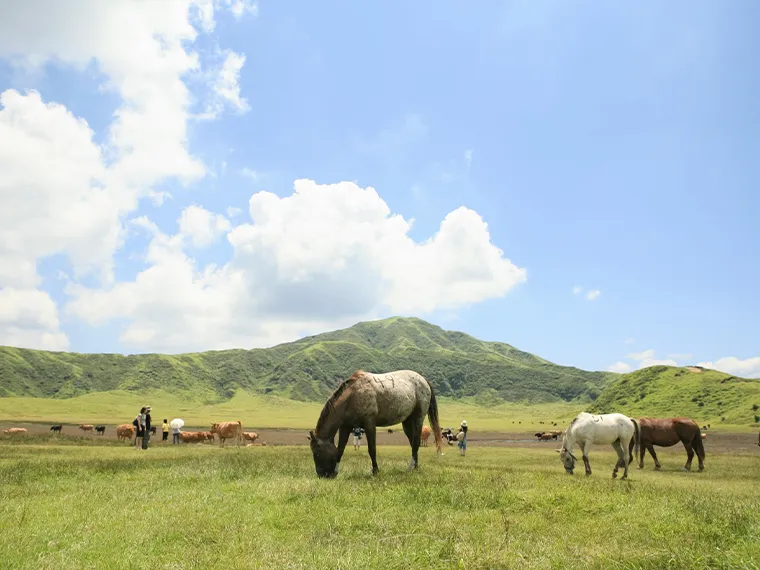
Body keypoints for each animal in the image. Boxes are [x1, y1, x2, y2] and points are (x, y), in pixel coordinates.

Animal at [306, 370, 442, 478]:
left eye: (316, 452)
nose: (322, 475)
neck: (352, 396)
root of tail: (423, 379)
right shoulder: (345, 427)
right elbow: (340, 450)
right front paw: (336, 471)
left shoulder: (369, 424)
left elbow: (372, 449)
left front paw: (375, 471)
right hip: (407, 422)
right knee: (413, 443)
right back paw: (415, 467)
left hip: (418, 418)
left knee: (416, 443)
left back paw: (410, 468)